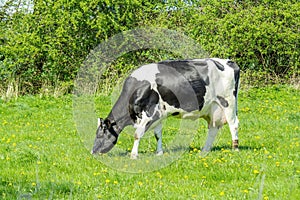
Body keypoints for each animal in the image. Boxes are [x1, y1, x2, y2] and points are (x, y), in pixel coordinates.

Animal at [91, 58, 239, 159]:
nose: (93, 152)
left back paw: (235, 148)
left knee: (233, 124)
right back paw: (205, 150)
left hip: (228, 102)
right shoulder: (159, 115)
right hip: (213, 108)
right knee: (213, 128)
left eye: (100, 134)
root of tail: (229, 61)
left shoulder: (149, 114)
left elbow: (137, 134)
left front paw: (133, 155)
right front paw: (159, 153)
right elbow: (157, 134)